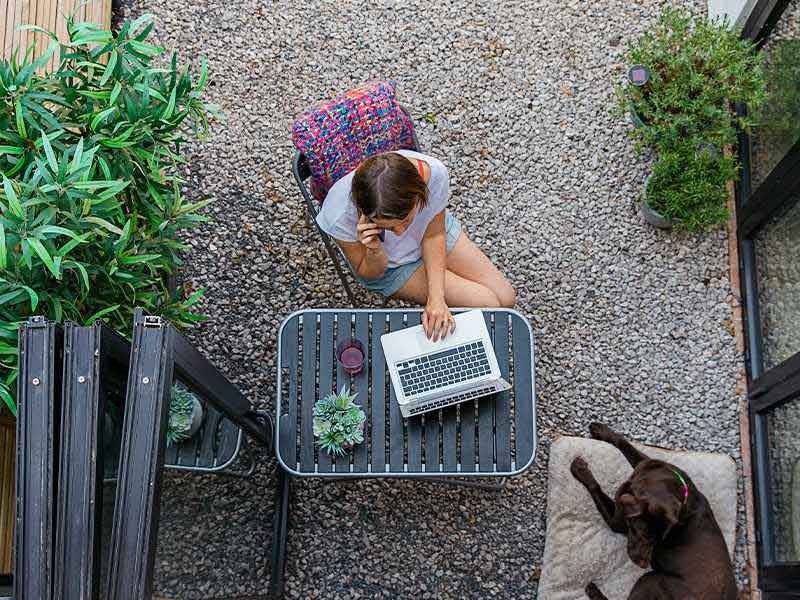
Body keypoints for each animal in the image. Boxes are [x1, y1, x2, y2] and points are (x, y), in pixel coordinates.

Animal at [568, 422, 736, 600]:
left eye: (657, 539)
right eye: (640, 532)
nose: (643, 564)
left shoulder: (617, 521)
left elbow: (596, 487)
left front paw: (581, 470)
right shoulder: (646, 464)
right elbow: (625, 444)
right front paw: (601, 430)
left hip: (651, 580)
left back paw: (593, 590)